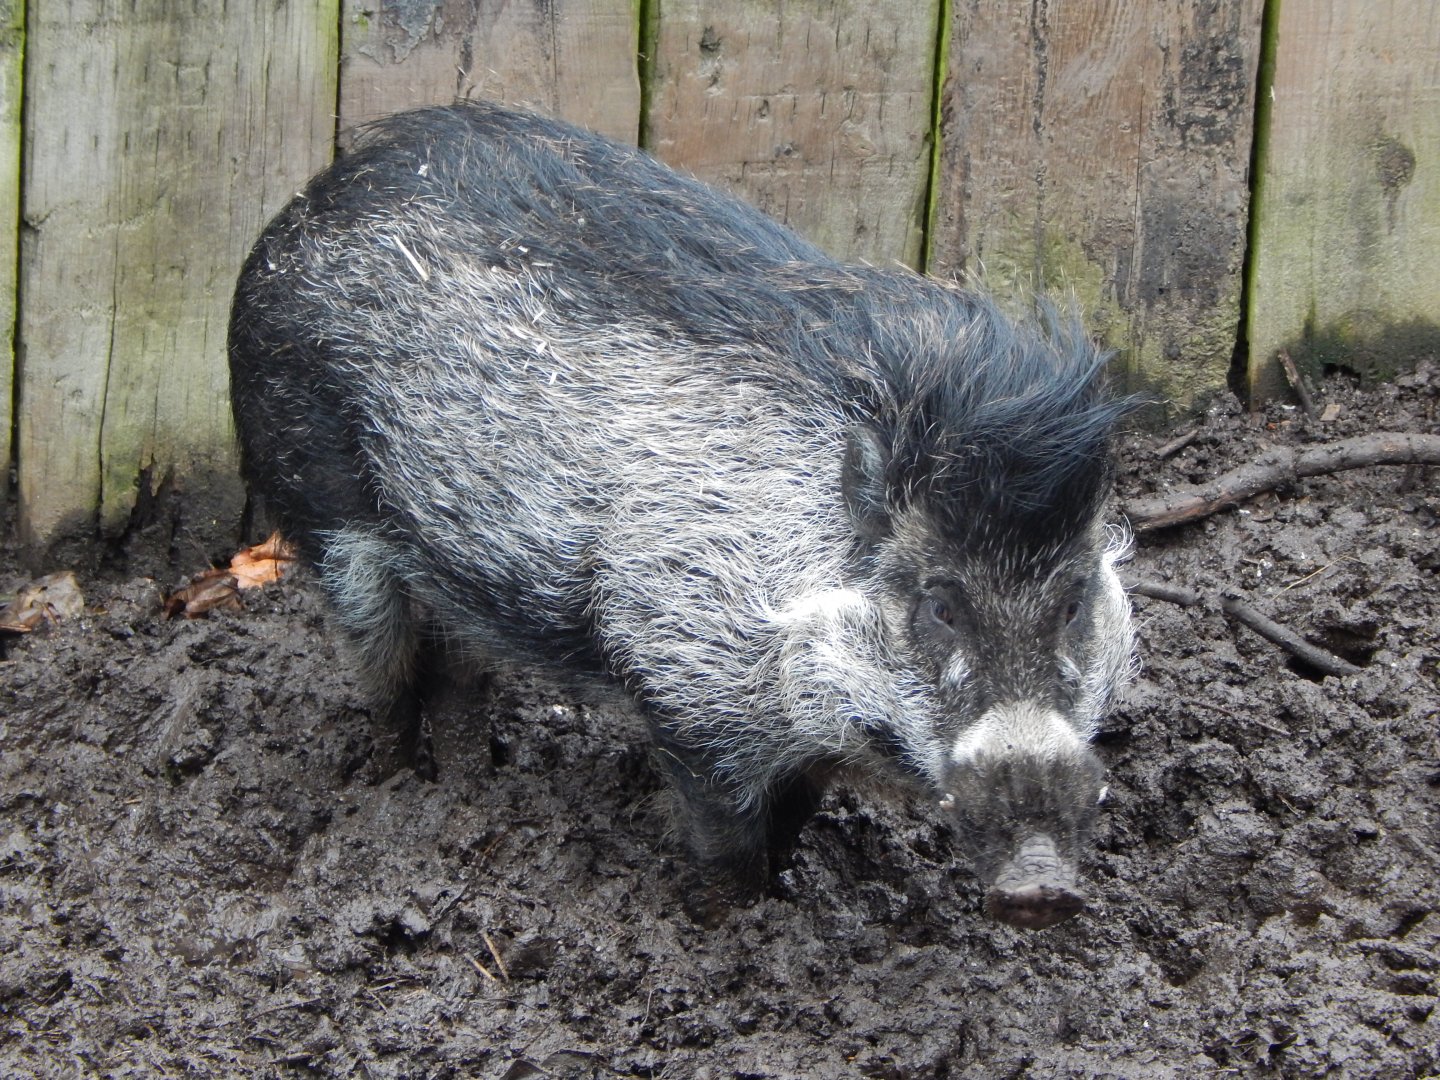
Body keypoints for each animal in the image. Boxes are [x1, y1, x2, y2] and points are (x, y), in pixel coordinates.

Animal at [228, 100, 1136, 929]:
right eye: (940, 604)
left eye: (1074, 602)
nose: (1042, 891)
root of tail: (301, 207)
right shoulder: (686, 678)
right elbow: (724, 833)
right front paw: (724, 923)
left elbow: (794, 815)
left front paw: (783, 891)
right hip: (321, 494)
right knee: (381, 667)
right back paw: (395, 785)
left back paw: (467, 774)